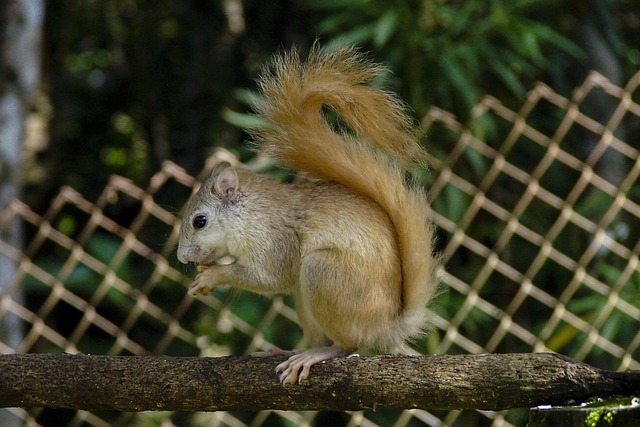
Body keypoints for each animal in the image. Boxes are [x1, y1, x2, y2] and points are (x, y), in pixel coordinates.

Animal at [177, 46, 441, 385]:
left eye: (200, 221)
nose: (182, 257)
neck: (250, 215)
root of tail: (386, 326)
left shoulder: (274, 241)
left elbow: (269, 277)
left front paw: (211, 276)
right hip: (305, 300)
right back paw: (288, 352)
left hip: (323, 272)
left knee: (347, 344)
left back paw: (313, 355)